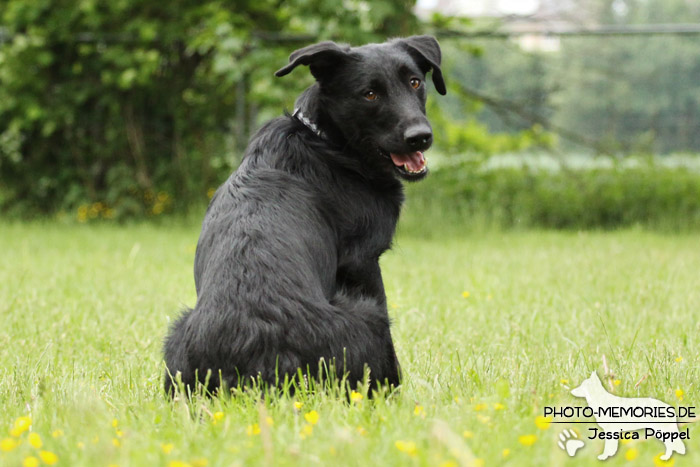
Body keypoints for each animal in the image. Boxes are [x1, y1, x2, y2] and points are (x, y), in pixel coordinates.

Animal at [164, 34, 446, 396]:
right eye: (369, 94)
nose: (420, 137)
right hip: (368, 318)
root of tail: (257, 371)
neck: (326, 140)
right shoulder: (363, 262)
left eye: (414, 82)